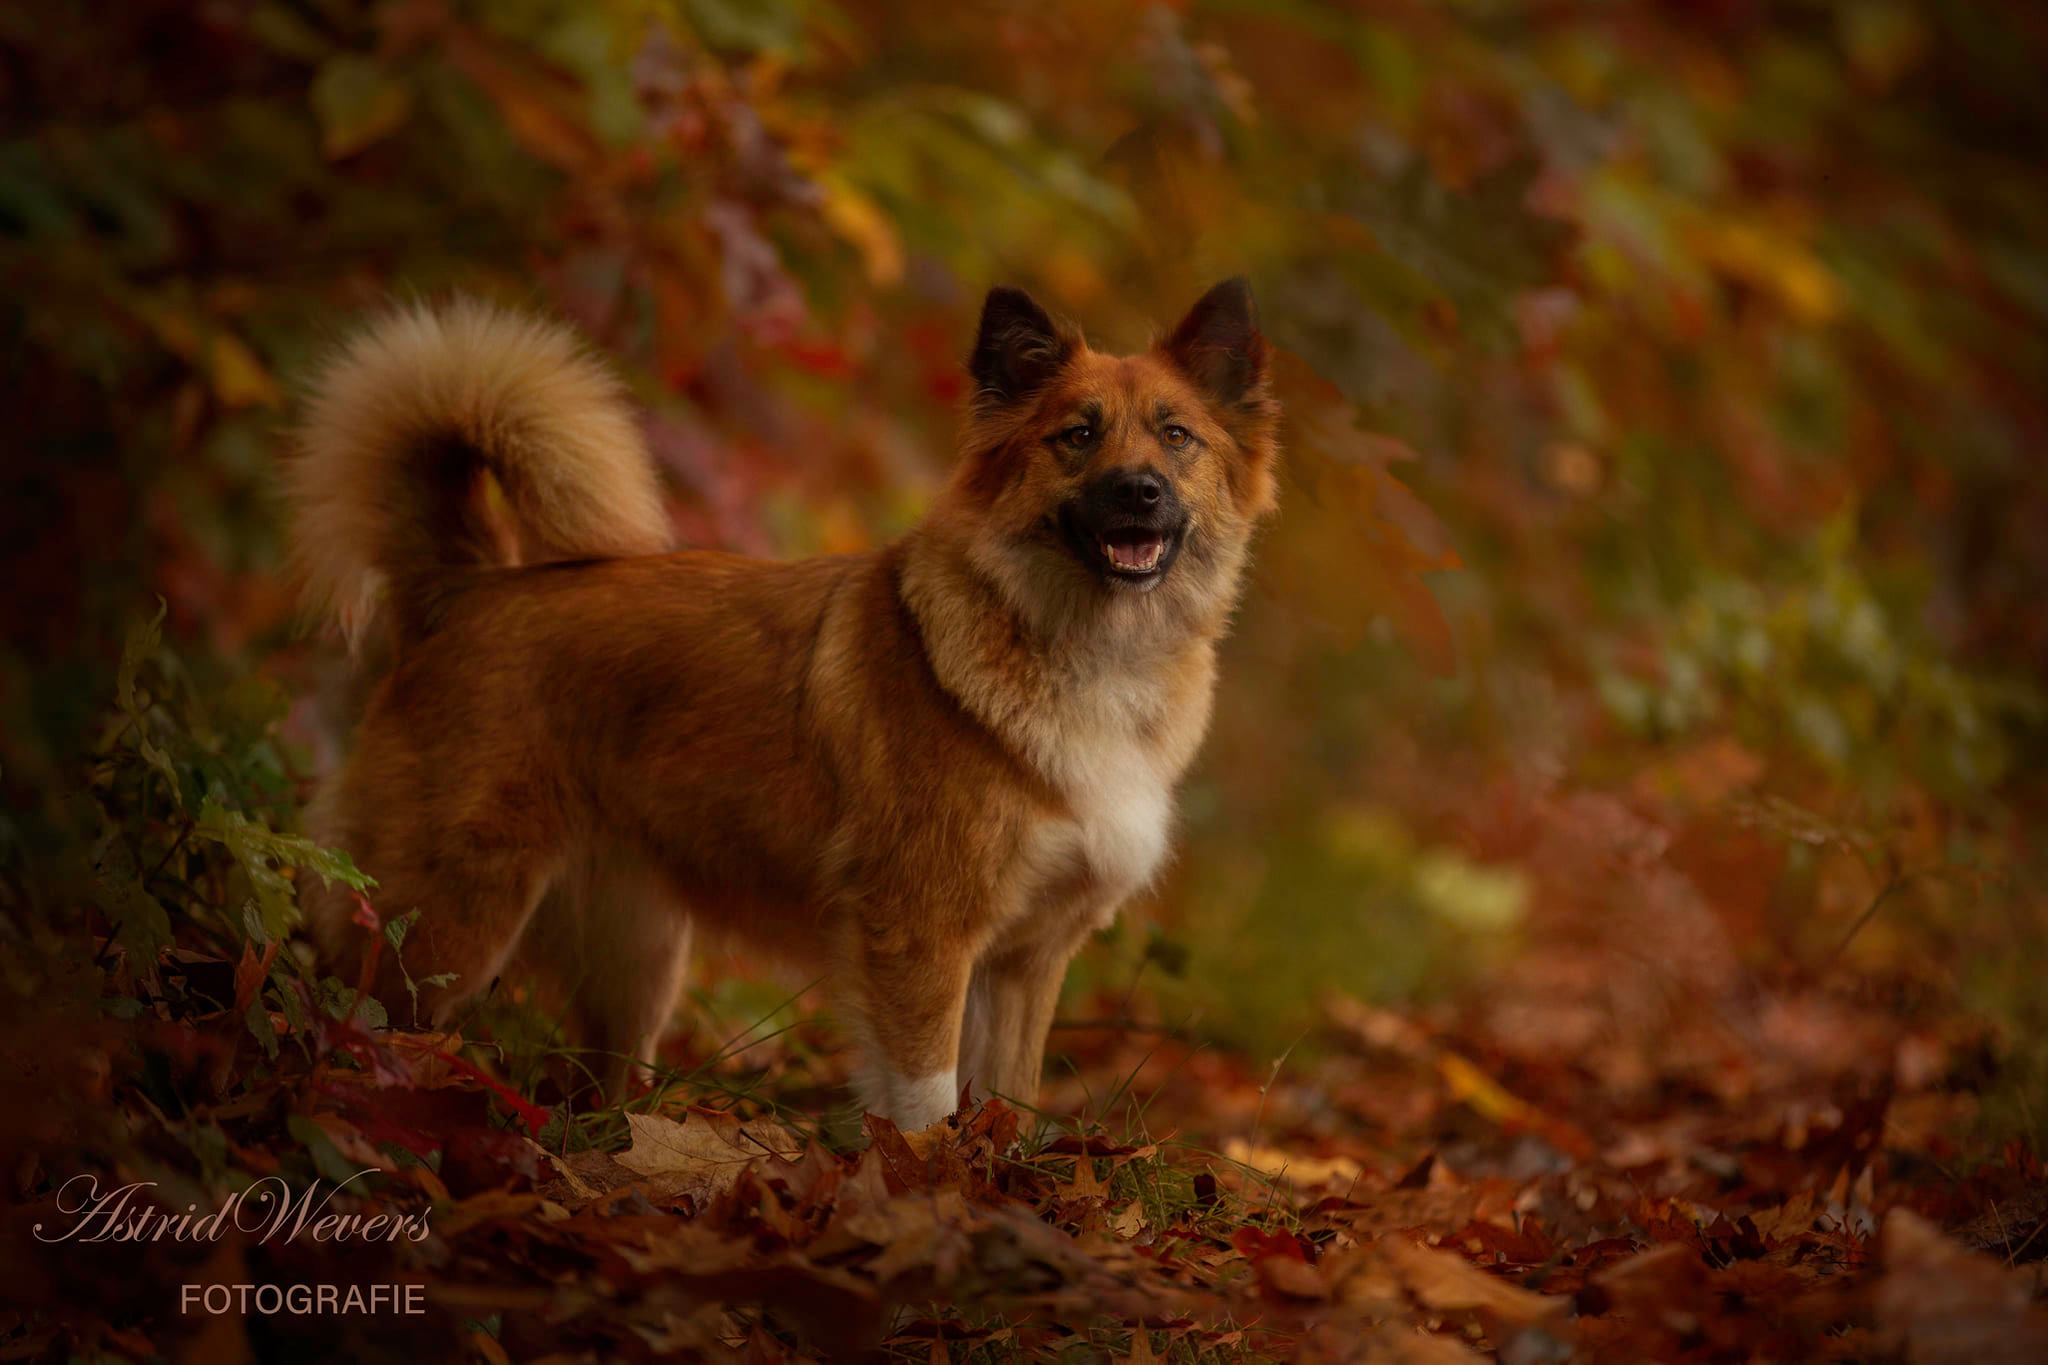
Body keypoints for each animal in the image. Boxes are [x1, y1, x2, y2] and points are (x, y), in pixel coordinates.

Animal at [288, 280, 1277, 1129]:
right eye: (1077, 435)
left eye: (1177, 436)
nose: (1140, 491)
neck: (1087, 652)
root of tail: (466, 587)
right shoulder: (920, 935)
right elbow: (924, 1100)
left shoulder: (1028, 961)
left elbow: (1009, 1100)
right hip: (449, 920)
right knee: (350, 1011)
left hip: (637, 957)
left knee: (597, 1081)